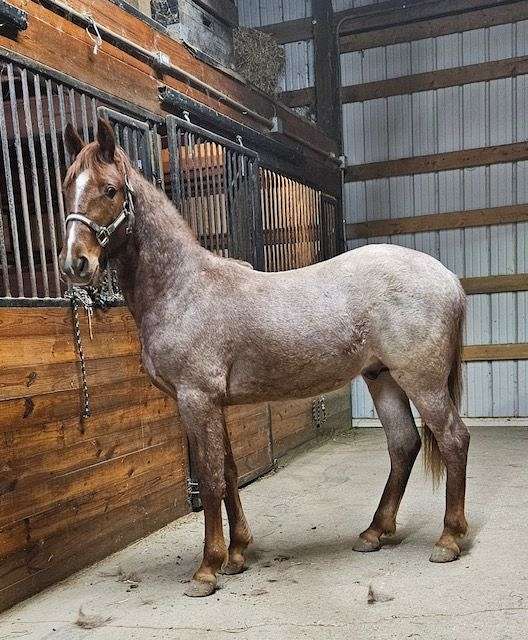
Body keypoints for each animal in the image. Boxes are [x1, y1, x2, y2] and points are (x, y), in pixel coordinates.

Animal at [59, 121, 468, 600]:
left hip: (422, 382)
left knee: (454, 439)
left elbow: (211, 477)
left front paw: (207, 569)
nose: (75, 264)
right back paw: (374, 533)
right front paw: (237, 554)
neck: (182, 288)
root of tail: (448, 279)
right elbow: (231, 470)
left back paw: (448, 539)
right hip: (381, 377)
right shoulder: (214, 404)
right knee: (403, 444)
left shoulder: (195, 400)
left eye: (110, 189)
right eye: (68, 185)